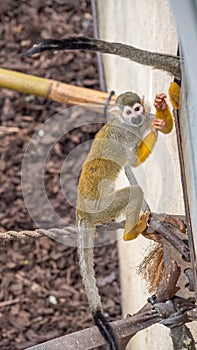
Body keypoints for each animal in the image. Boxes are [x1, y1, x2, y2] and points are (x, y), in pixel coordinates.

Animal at [76, 89, 173, 348]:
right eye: (128, 112)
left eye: (137, 109)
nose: (136, 117)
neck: (129, 125)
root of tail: (82, 212)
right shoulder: (125, 135)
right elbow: (134, 161)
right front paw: (155, 131)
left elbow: (165, 127)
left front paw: (161, 110)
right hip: (103, 206)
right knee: (134, 192)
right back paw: (131, 232)